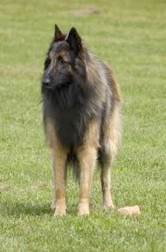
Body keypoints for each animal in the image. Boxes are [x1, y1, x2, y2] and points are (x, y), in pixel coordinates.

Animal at [40, 24, 121, 216]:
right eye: (49, 61)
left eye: (63, 61)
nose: (44, 82)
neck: (70, 98)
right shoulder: (58, 146)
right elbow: (60, 185)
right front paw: (59, 212)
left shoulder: (88, 146)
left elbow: (85, 184)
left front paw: (83, 212)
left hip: (107, 146)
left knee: (105, 178)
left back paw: (108, 205)